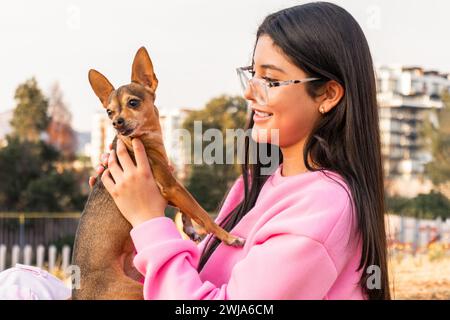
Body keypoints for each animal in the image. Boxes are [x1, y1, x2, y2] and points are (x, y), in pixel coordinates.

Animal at [71, 47, 244, 300]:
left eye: (133, 102)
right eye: (109, 112)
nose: (115, 122)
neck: (144, 142)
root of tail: (77, 293)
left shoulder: (171, 186)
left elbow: (188, 209)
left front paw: (189, 228)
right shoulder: (172, 186)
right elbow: (202, 214)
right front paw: (228, 237)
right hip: (135, 290)